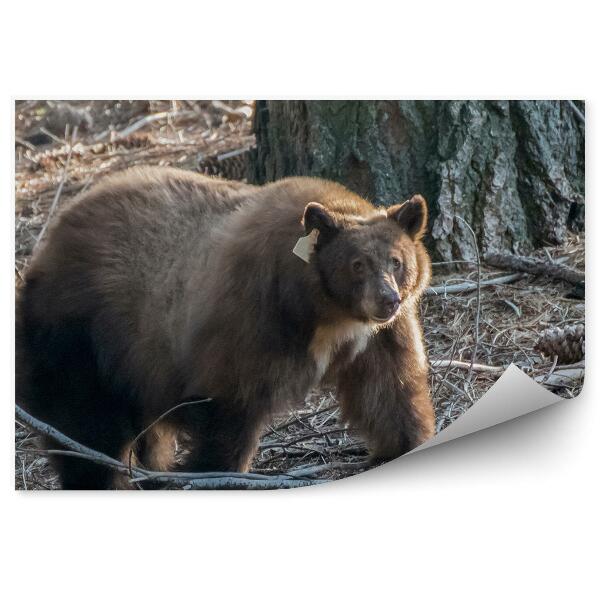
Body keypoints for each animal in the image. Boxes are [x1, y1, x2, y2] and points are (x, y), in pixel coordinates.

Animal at [15, 165, 436, 488]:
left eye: (396, 260)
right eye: (357, 264)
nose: (387, 299)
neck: (324, 313)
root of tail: (46, 247)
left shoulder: (379, 337)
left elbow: (390, 390)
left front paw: (403, 444)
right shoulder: (251, 321)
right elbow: (231, 409)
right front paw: (214, 473)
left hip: (135, 361)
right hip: (81, 334)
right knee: (85, 423)